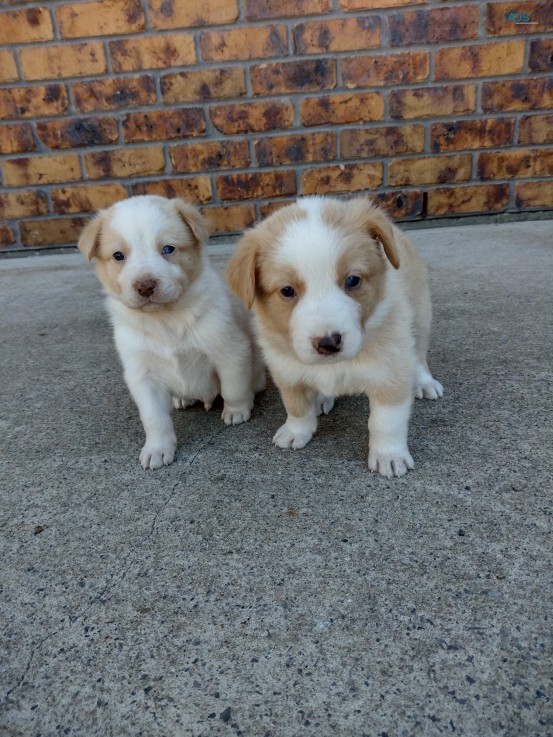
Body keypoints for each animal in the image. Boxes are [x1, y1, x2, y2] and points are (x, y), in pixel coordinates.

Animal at [78, 196, 266, 468]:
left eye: (168, 249)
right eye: (118, 255)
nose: (145, 286)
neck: (165, 320)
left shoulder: (229, 350)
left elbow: (233, 386)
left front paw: (237, 411)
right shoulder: (141, 374)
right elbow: (154, 417)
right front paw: (157, 449)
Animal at [226, 196, 442, 478]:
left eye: (352, 280)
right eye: (287, 290)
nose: (328, 343)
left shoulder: (390, 373)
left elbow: (386, 421)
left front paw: (389, 455)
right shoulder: (286, 370)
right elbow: (296, 406)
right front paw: (296, 431)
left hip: (420, 317)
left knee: (419, 357)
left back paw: (425, 383)